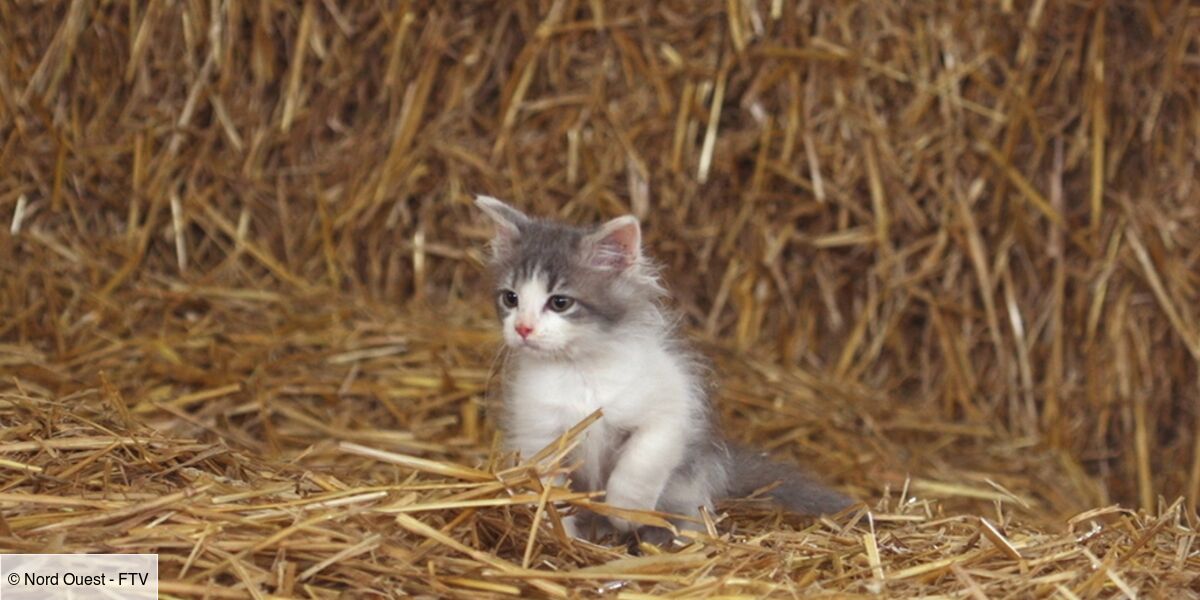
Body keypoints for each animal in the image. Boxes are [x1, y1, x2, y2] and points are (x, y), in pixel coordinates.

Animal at [477, 195, 854, 540]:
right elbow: (547, 490)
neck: (579, 369)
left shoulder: (673, 407)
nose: (523, 329)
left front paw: (626, 510)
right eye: (511, 298)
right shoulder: (539, 438)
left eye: (559, 303)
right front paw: (559, 538)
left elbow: (643, 457)